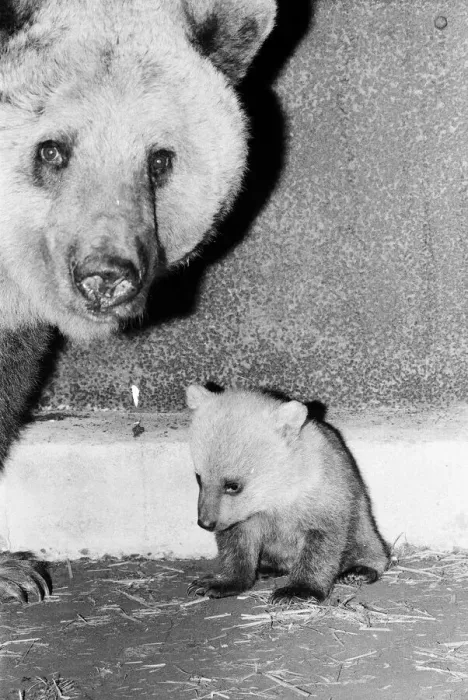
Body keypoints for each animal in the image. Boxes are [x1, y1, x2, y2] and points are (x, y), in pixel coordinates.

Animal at [186, 385, 390, 602]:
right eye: (198, 476)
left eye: (232, 485)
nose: (205, 522)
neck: (279, 491)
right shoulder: (246, 514)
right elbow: (236, 541)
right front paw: (216, 583)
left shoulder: (320, 491)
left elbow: (322, 539)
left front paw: (296, 590)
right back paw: (267, 568)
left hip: (361, 519)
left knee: (366, 540)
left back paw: (358, 570)